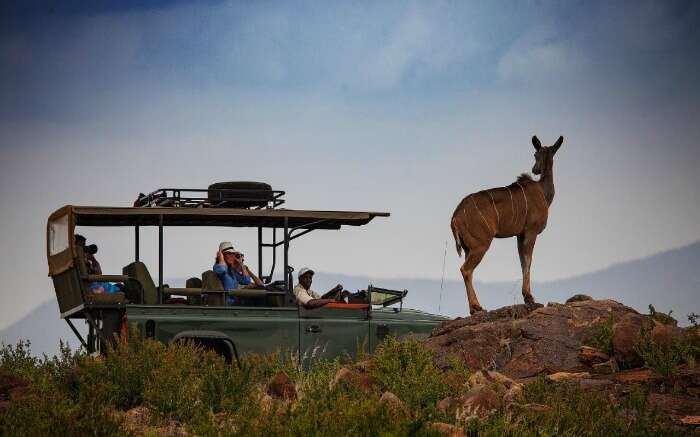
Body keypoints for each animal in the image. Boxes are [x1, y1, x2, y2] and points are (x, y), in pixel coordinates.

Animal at [454, 135, 564, 314]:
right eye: (535, 154)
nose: (535, 169)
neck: (543, 192)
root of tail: (454, 217)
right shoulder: (531, 230)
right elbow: (528, 260)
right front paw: (529, 297)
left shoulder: (519, 235)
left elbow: (522, 261)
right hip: (480, 245)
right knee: (466, 269)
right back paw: (477, 307)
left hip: (467, 247)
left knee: (467, 270)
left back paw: (473, 308)